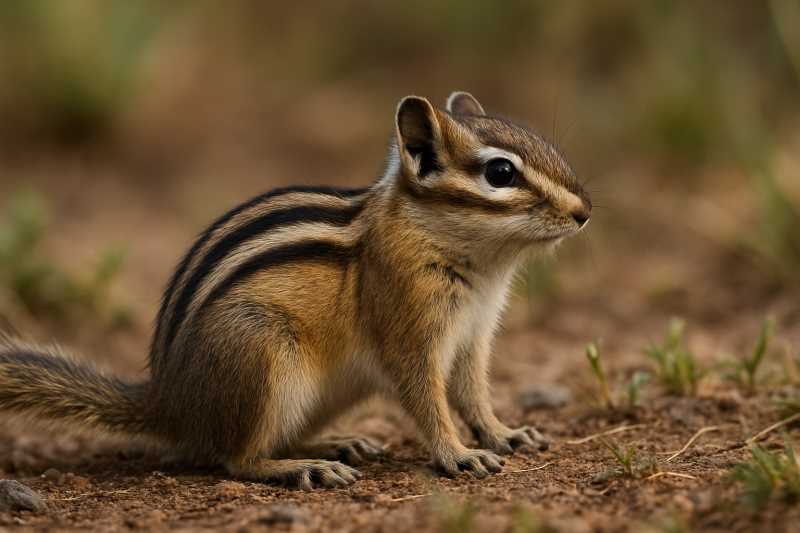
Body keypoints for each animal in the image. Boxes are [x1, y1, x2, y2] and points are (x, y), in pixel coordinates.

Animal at [0, 92, 590, 489]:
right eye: (500, 173)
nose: (584, 212)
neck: (480, 264)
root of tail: (169, 403)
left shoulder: (473, 336)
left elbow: (473, 393)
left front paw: (503, 433)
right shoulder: (408, 328)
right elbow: (427, 398)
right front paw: (456, 453)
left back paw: (337, 444)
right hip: (263, 356)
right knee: (235, 458)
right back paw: (304, 466)